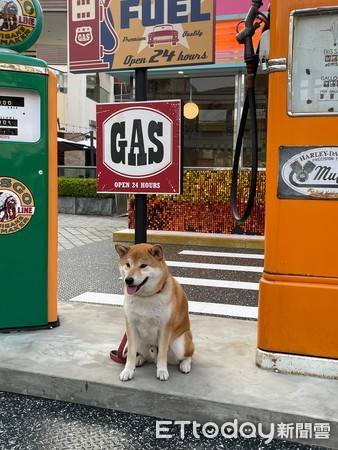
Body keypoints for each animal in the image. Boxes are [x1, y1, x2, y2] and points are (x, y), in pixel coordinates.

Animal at [115, 244, 194, 382]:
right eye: (128, 264)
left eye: (143, 265)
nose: (128, 279)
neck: (146, 297)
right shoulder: (131, 326)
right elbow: (130, 354)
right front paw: (127, 371)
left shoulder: (164, 328)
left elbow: (162, 354)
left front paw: (162, 371)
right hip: (138, 342)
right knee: (147, 356)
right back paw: (140, 359)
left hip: (180, 344)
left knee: (187, 356)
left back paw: (185, 364)